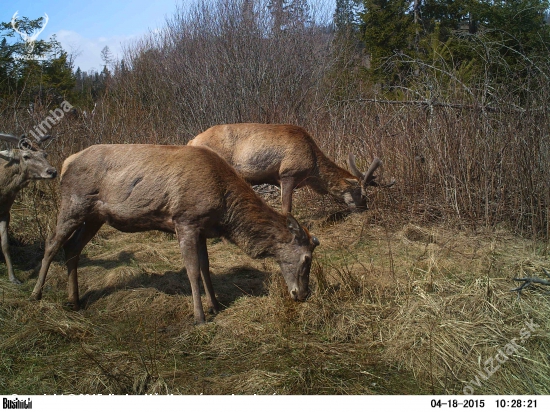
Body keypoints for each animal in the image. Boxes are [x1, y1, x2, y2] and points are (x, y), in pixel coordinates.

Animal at [0, 133, 57, 284]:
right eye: (26, 156)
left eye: (45, 154)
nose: (52, 171)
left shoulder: (5, 212)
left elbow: (5, 244)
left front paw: (13, 278)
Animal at [30, 145, 322, 326]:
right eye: (306, 259)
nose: (302, 294)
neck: (225, 211)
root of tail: (65, 163)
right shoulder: (185, 220)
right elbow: (192, 271)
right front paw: (199, 316)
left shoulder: (202, 228)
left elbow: (206, 268)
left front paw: (215, 305)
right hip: (73, 203)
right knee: (52, 244)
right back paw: (36, 294)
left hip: (95, 216)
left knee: (72, 248)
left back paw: (75, 299)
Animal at [188, 122, 394, 214]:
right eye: (362, 194)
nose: (364, 208)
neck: (313, 172)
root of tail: (191, 141)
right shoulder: (288, 174)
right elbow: (287, 208)